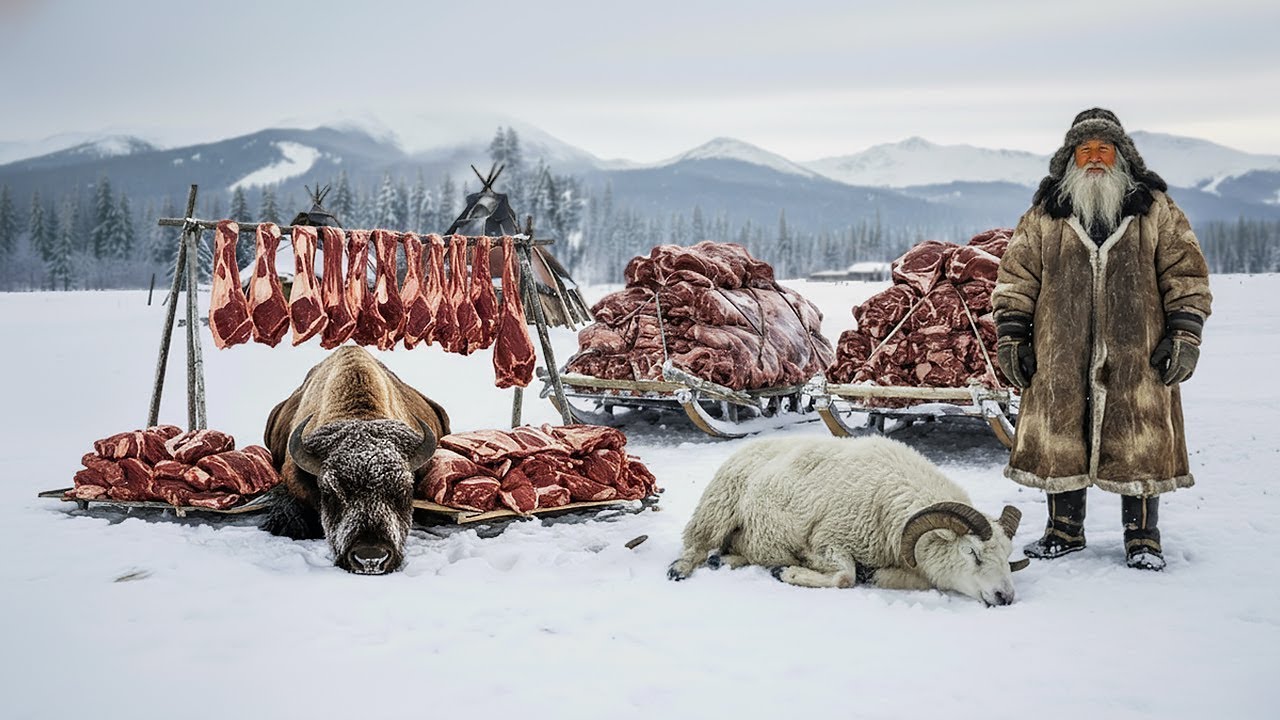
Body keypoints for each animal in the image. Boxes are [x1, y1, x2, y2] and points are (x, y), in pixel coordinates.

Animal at [667, 435, 1028, 606]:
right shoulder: (825, 540)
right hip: (718, 505)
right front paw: (788, 572)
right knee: (696, 543)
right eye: (972, 552)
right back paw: (681, 568)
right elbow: (845, 576)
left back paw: (725, 560)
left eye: (1008, 557)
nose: (1005, 598)